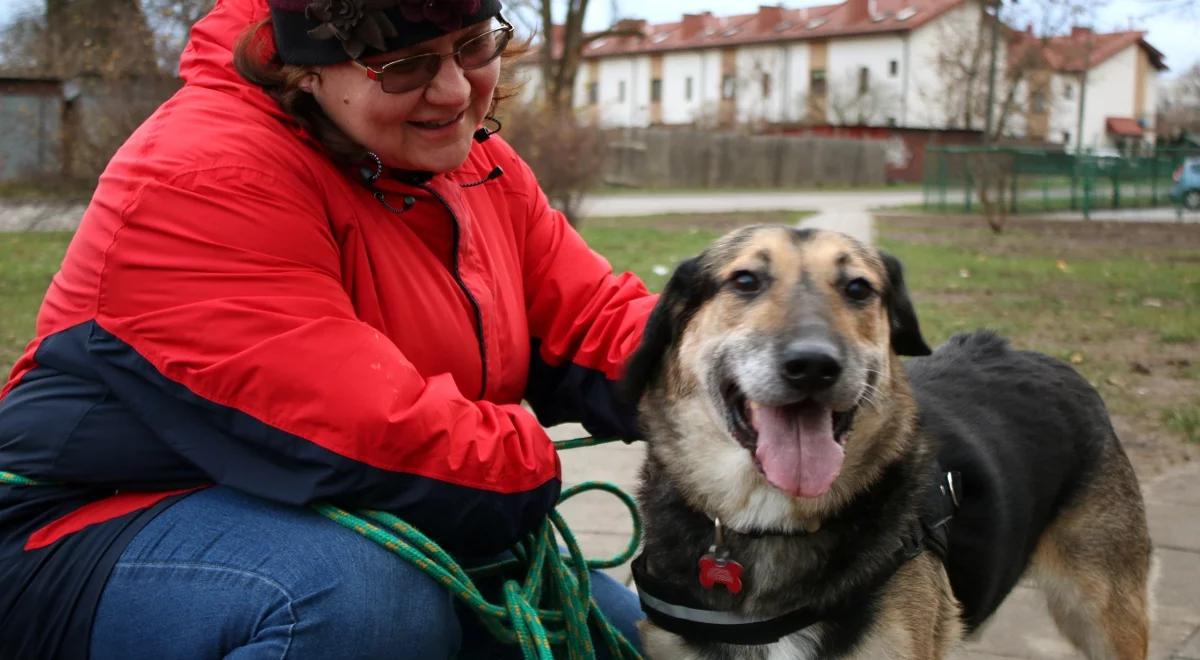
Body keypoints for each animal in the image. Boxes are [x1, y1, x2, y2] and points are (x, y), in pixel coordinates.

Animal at [624, 225, 1147, 657]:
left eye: (858, 288)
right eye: (746, 280)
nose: (813, 365)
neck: (770, 523)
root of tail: (1059, 364)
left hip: (1106, 617)